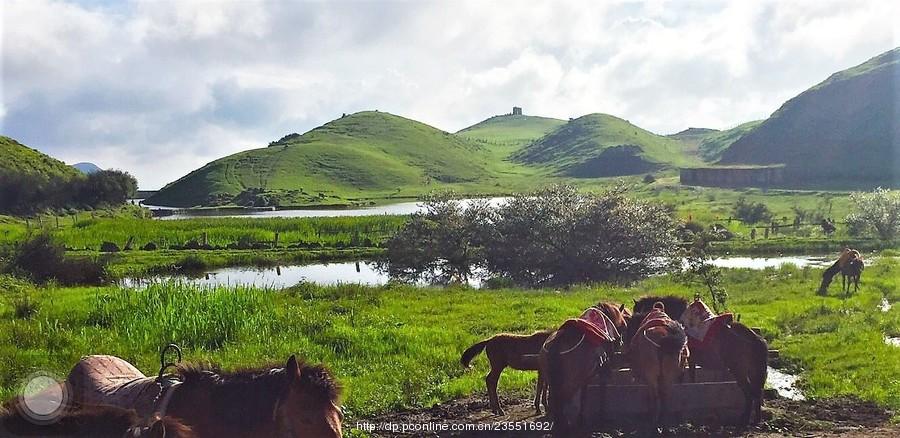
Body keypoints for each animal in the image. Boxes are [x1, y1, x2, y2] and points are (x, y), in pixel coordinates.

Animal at [536, 302, 628, 434]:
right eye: (624, 326)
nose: (620, 343)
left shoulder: (585, 378)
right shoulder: (600, 373)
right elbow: (597, 393)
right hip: (570, 384)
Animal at [624, 302, 688, 432]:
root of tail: (663, 338)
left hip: (651, 375)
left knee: (655, 395)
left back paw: (654, 424)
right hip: (668, 375)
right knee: (666, 395)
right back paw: (664, 425)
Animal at [632, 294, 768, 424]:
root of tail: (754, 338)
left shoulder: (687, 361)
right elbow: (691, 379)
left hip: (740, 371)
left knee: (749, 393)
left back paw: (745, 419)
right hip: (752, 372)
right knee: (757, 393)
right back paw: (756, 419)